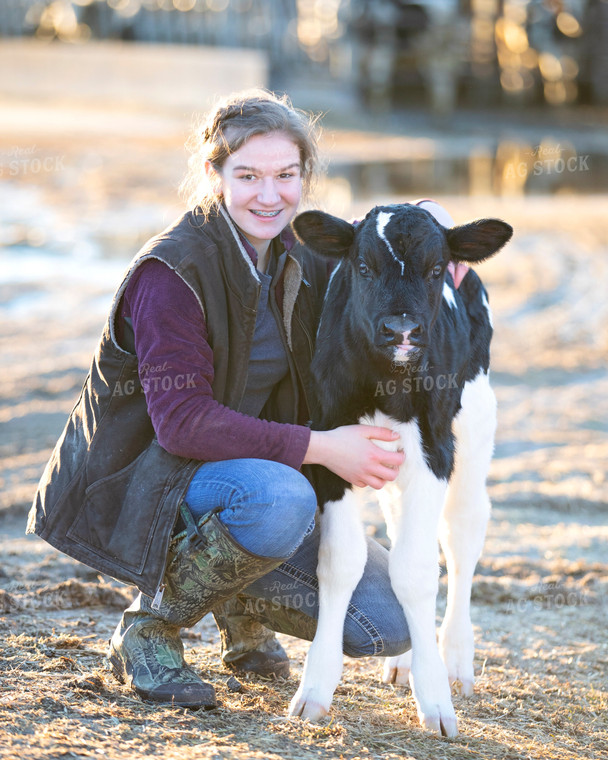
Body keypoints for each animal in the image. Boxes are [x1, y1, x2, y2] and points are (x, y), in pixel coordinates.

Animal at [290, 202, 512, 736]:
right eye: (363, 266)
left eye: (435, 270)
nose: (402, 332)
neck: (386, 382)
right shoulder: (331, 445)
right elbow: (341, 561)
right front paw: (315, 687)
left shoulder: (434, 451)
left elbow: (416, 571)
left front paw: (434, 699)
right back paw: (406, 660)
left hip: (474, 427)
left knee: (460, 533)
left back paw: (454, 660)